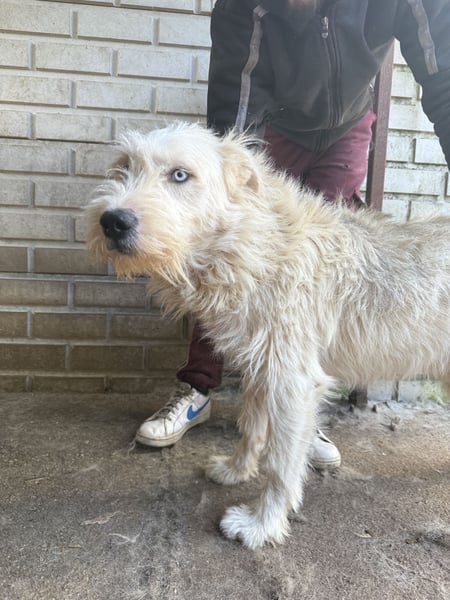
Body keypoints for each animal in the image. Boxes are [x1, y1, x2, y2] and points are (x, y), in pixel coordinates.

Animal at [86, 122, 450, 549]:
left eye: (179, 175)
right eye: (124, 167)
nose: (112, 221)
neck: (254, 245)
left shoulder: (293, 381)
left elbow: (281, 462)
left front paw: (262, 524)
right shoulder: (260, 367)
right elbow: (251, 428)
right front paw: (235, 470)